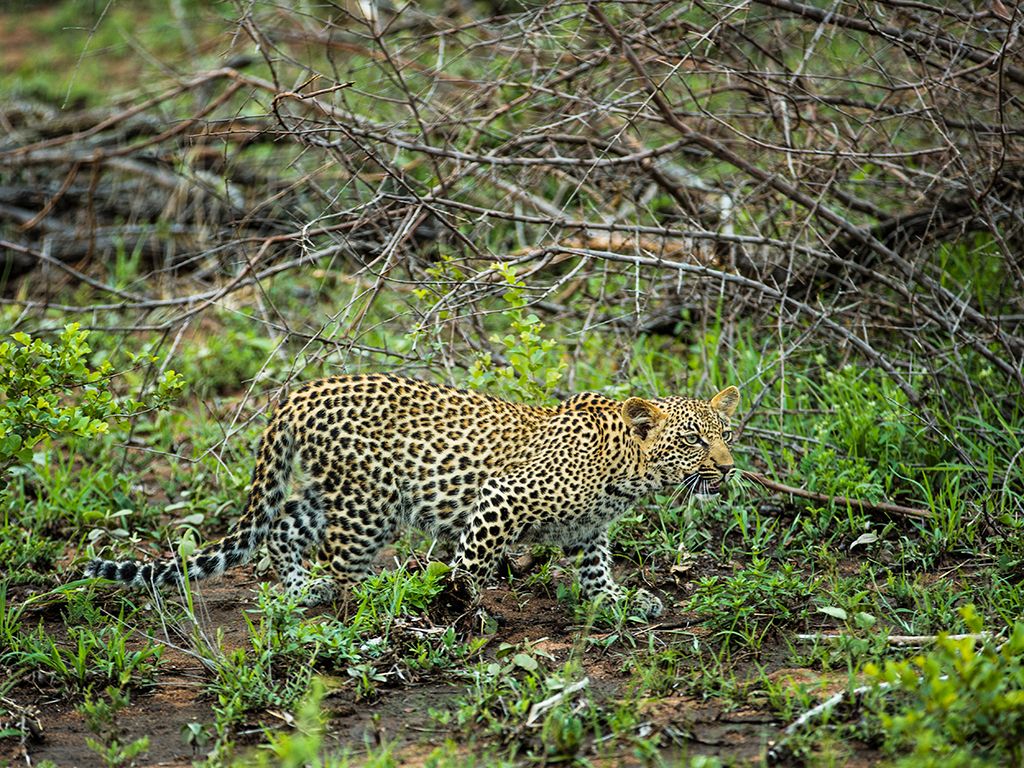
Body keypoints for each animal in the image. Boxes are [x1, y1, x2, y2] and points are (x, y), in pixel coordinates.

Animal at [84, 374, 739, 618]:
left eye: (726, 435)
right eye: (691, 439)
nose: (728, 468)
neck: (626, 470)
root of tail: (299, 392)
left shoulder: (588, 531)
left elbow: (598, 571)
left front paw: (621, 602)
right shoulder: (503, 497)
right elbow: (470, 560)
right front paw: (458, 603)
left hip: (336, 494)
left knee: (283, 528)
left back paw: (303, 591)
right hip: (368, 507)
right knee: (339, 560)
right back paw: (365, 602)